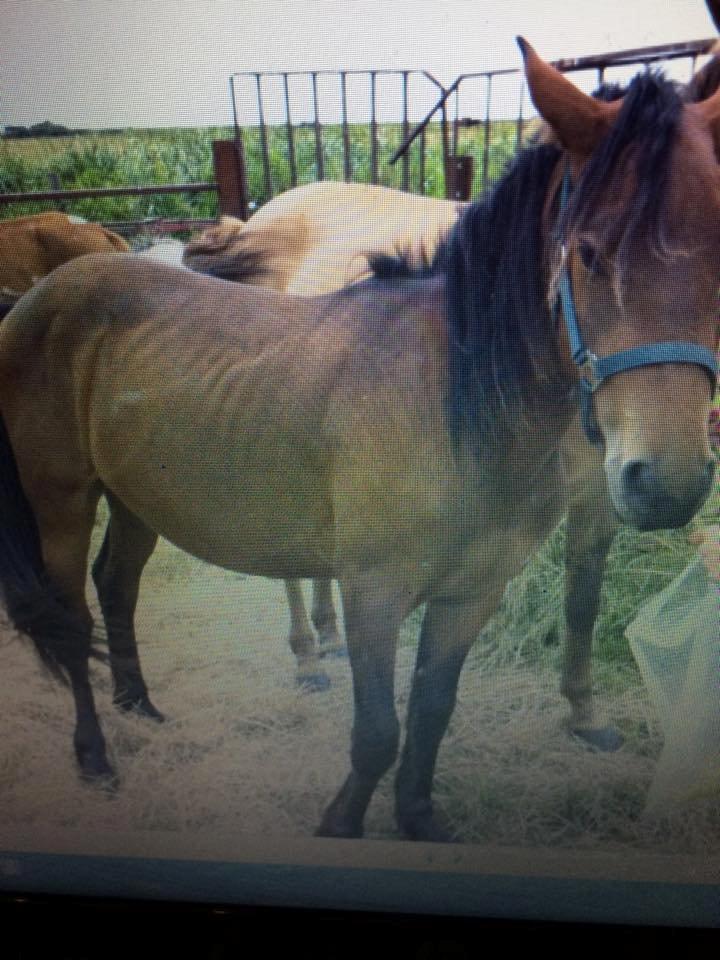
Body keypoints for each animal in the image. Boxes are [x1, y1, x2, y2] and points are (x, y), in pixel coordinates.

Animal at [1, 43, 720, 840]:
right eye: (588, 253)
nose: (668, 482)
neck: (456, 400)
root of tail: (43, 293)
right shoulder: (373, 592)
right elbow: (378, 732)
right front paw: (341, 824)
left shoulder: (472, 592)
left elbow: (431, 714)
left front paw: (420, 821)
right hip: (61, 503)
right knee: (72, 622)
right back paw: (97, 757)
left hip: (135, 499)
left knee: (117, 587)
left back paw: (142, 707)